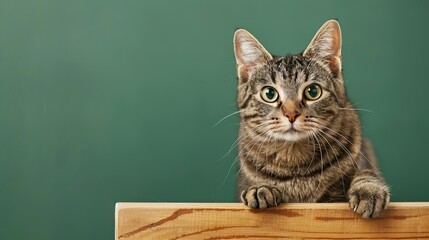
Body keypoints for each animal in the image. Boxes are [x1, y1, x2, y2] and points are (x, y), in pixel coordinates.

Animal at [232, 19, 390, 218]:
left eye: (313, 91)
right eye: (269, 94)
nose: (291, 114)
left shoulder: (363, 158)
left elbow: (366, 174)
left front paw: (368, 190)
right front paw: (259, 188)